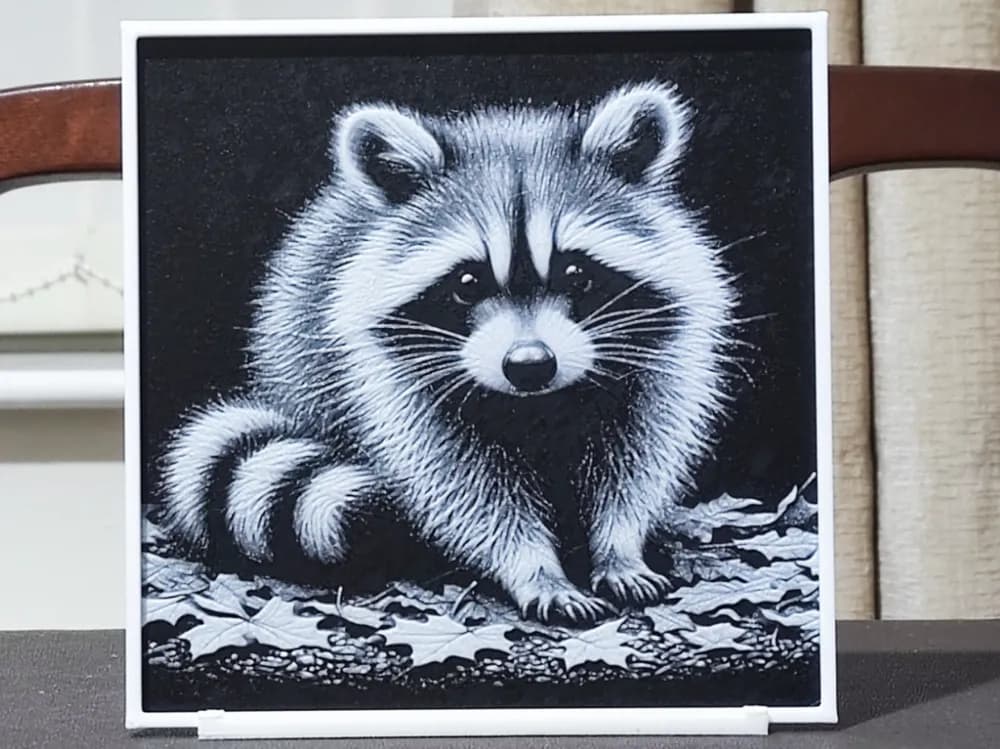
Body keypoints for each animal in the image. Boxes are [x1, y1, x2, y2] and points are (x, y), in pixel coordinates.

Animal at [159, 80, 737, 624]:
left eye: (576, 273)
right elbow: (464, 488)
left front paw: (619, 547)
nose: (530, 366)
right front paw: (534, 567)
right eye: (466, 282)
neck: (536, 406)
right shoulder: (394, 381)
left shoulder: (663, 358)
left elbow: (634, 463)